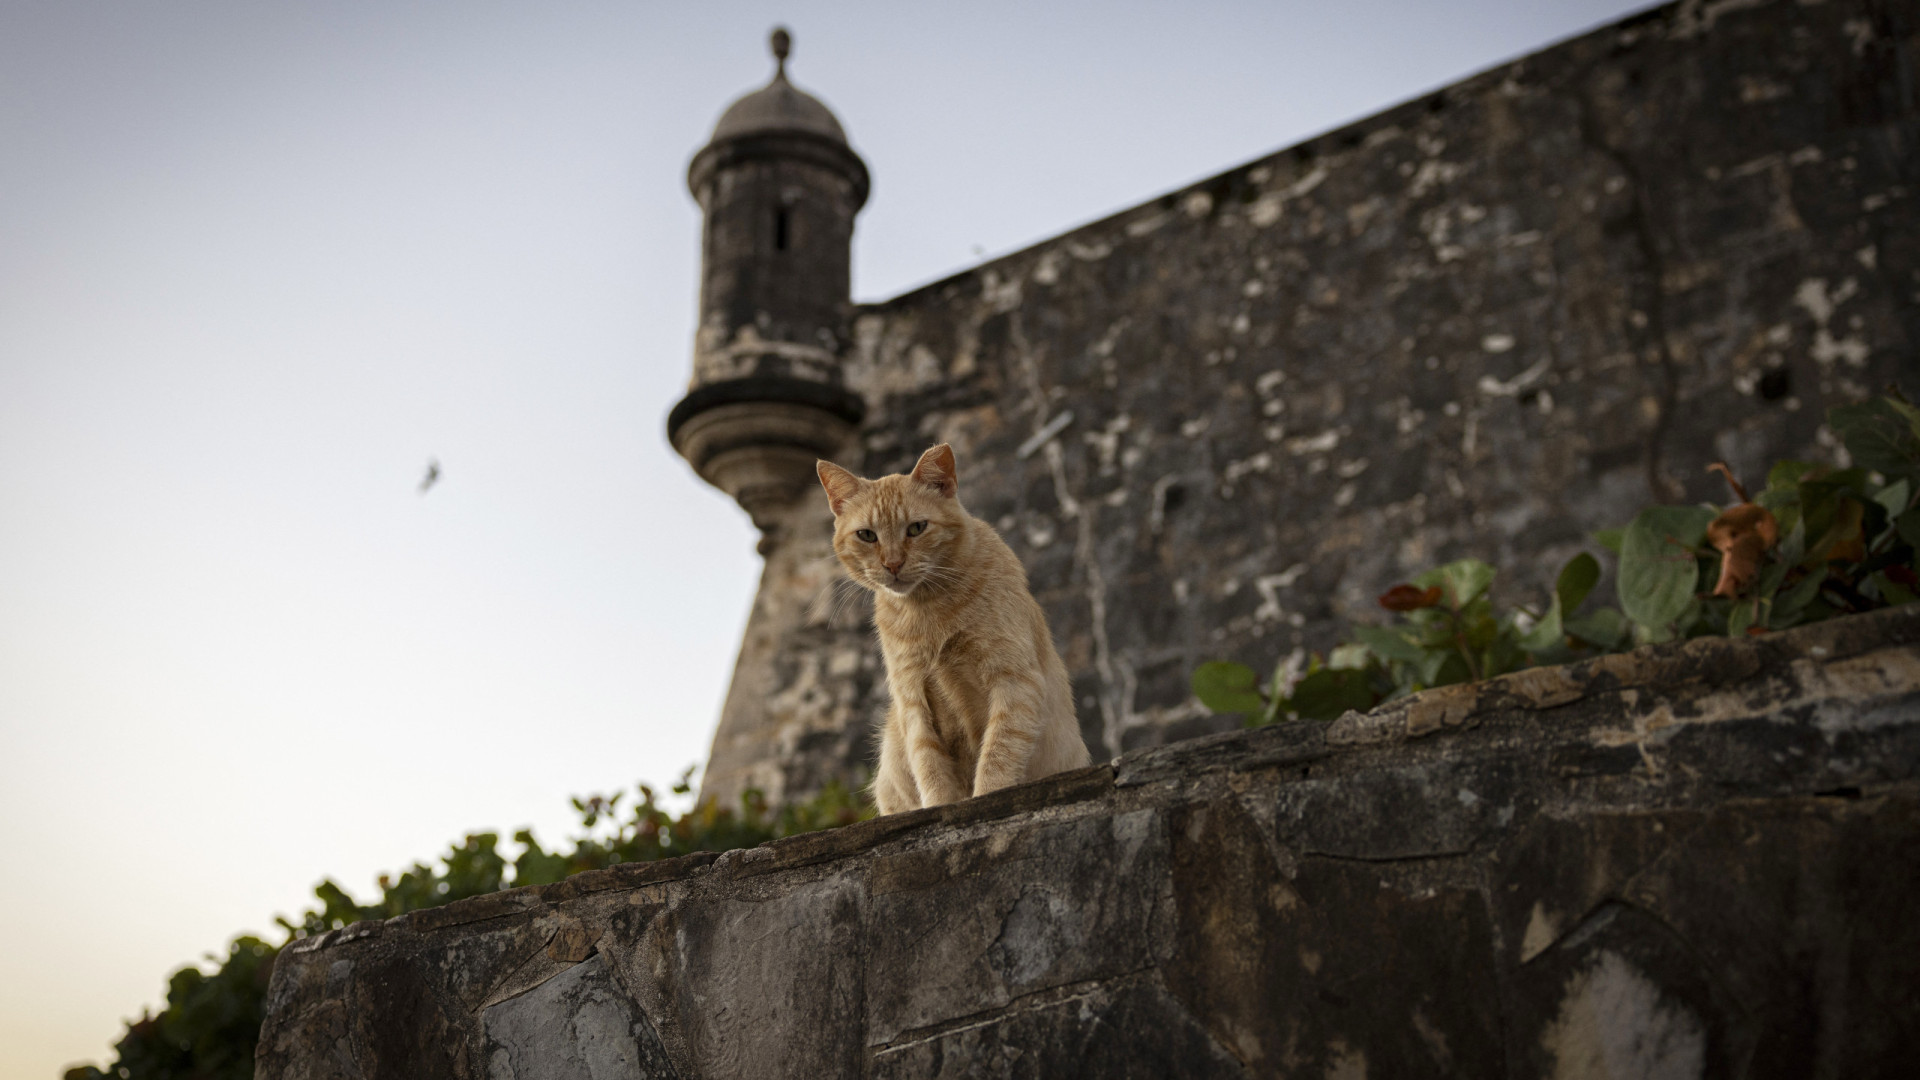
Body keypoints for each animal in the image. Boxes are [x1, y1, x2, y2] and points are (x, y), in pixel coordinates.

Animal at [814, 441, 1098, 810]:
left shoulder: (1014, 681)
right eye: (867, 535)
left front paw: (987, 795)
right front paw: (940, 806)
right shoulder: (913, 701)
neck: (928, 609)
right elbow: (931, 768)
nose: (893, 564)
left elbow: (998, 756)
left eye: (916, 528)